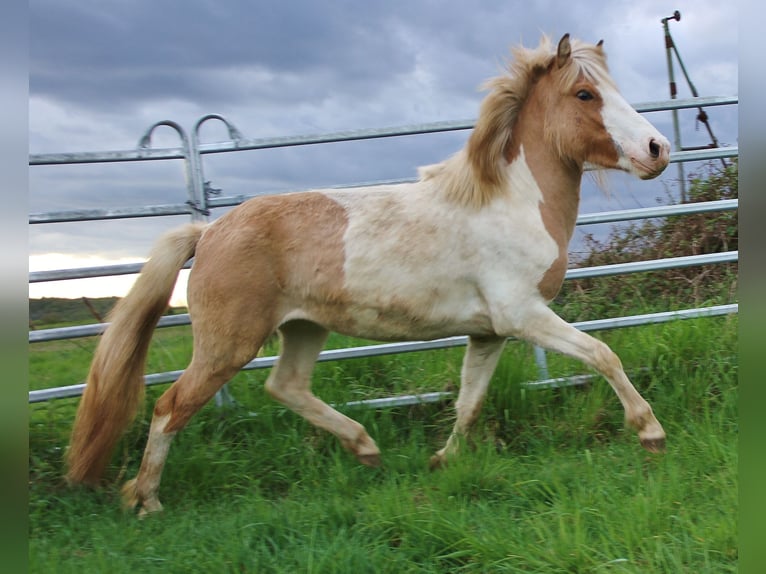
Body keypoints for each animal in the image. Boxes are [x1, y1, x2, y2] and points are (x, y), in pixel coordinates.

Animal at [66, 34, 670, 515]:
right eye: (585, 94)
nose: (657, 148)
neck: (510, 202)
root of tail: (209, 231)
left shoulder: (490, 331)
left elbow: (469, 400)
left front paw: (443, 460)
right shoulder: (524, 315)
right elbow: (603, 355)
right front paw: (650, 432)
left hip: (303, 328)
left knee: (285, 385)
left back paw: (366, 449)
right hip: (226, 345)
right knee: (170, 408)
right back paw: (146, 500)